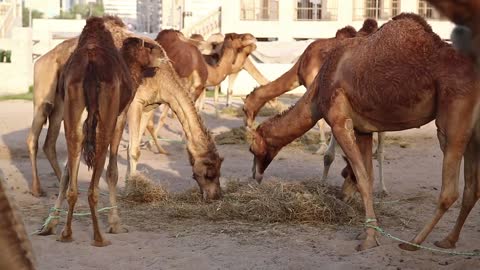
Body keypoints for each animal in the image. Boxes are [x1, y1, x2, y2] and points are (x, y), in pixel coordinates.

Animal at [26, 15, 137, 196]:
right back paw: (38, 189)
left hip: (60, 108)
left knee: (51, 142)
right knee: (34, 138)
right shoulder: (121, 112)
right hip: (46, 99)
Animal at [38, 16, 165, 247]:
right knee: (98, 169)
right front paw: (116, 224)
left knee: (73, 159)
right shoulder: (120, 115)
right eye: (150, 47)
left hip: (73, 103)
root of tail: (90, 65)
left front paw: (50, 225)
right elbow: (113, 170)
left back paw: (66, 233)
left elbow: (68, 172)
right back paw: (99, 237)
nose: (164, 55)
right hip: (106, 112)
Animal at [242, 19, 388, 194]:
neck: (299, 67)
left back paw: (382, 185)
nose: (247, 125)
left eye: (244, 108)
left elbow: (321, 124)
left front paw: (321, 150)